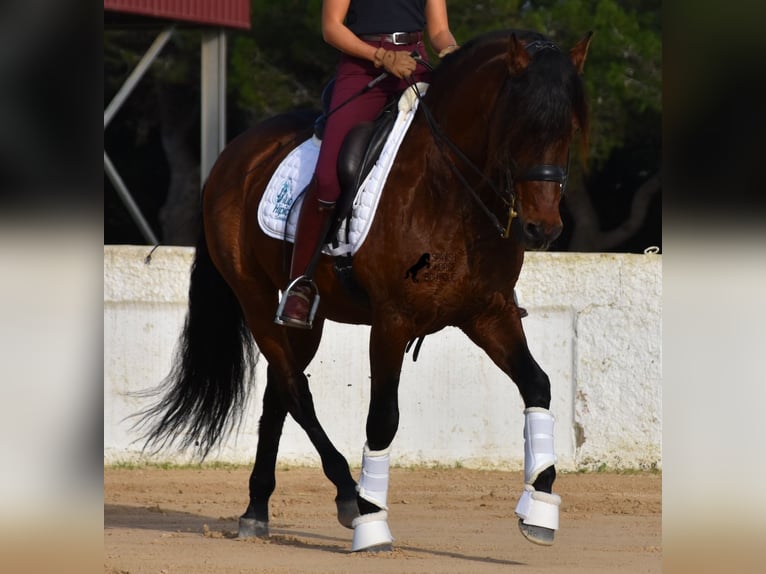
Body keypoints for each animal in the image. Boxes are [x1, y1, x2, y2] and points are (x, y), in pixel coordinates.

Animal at [138, 30, 592, 552]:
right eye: (521, 126)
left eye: (568, 130)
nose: (543, 228)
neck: (448, 190)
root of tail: (235, 155)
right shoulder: (392, 321)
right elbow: (383, 418)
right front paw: (372, 521)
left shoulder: (488, 313)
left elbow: (537, 384)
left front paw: (539, 506)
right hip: (254, 300)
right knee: (297, 391)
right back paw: (348, 497)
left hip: (304, 318)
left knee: (279, 393)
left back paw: (257, 509)